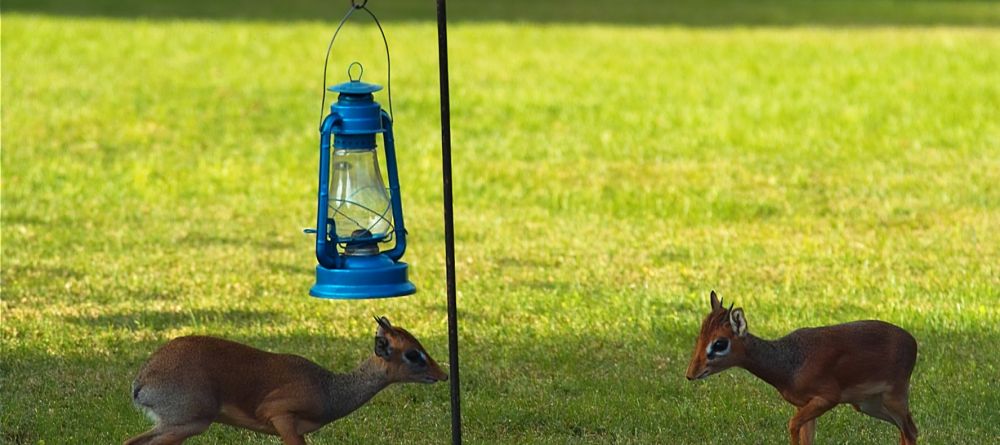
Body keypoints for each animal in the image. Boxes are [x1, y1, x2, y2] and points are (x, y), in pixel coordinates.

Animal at [127, 316, 448, 444]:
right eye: (413, 354)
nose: (442, 374)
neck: (329, 390)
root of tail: (143, 380)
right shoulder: (280, 416)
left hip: (177, 425)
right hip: (190, 423)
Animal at [688, 292, 916, 444]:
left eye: (720, 343)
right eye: (700, 336)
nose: (690, 374)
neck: (788, 364)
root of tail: (912, 342)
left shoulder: (827, 398)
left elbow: (792, 425)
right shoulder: (803, 405)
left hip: (893, 398)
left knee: (911, 430)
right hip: (868, 404)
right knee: (904, 431)